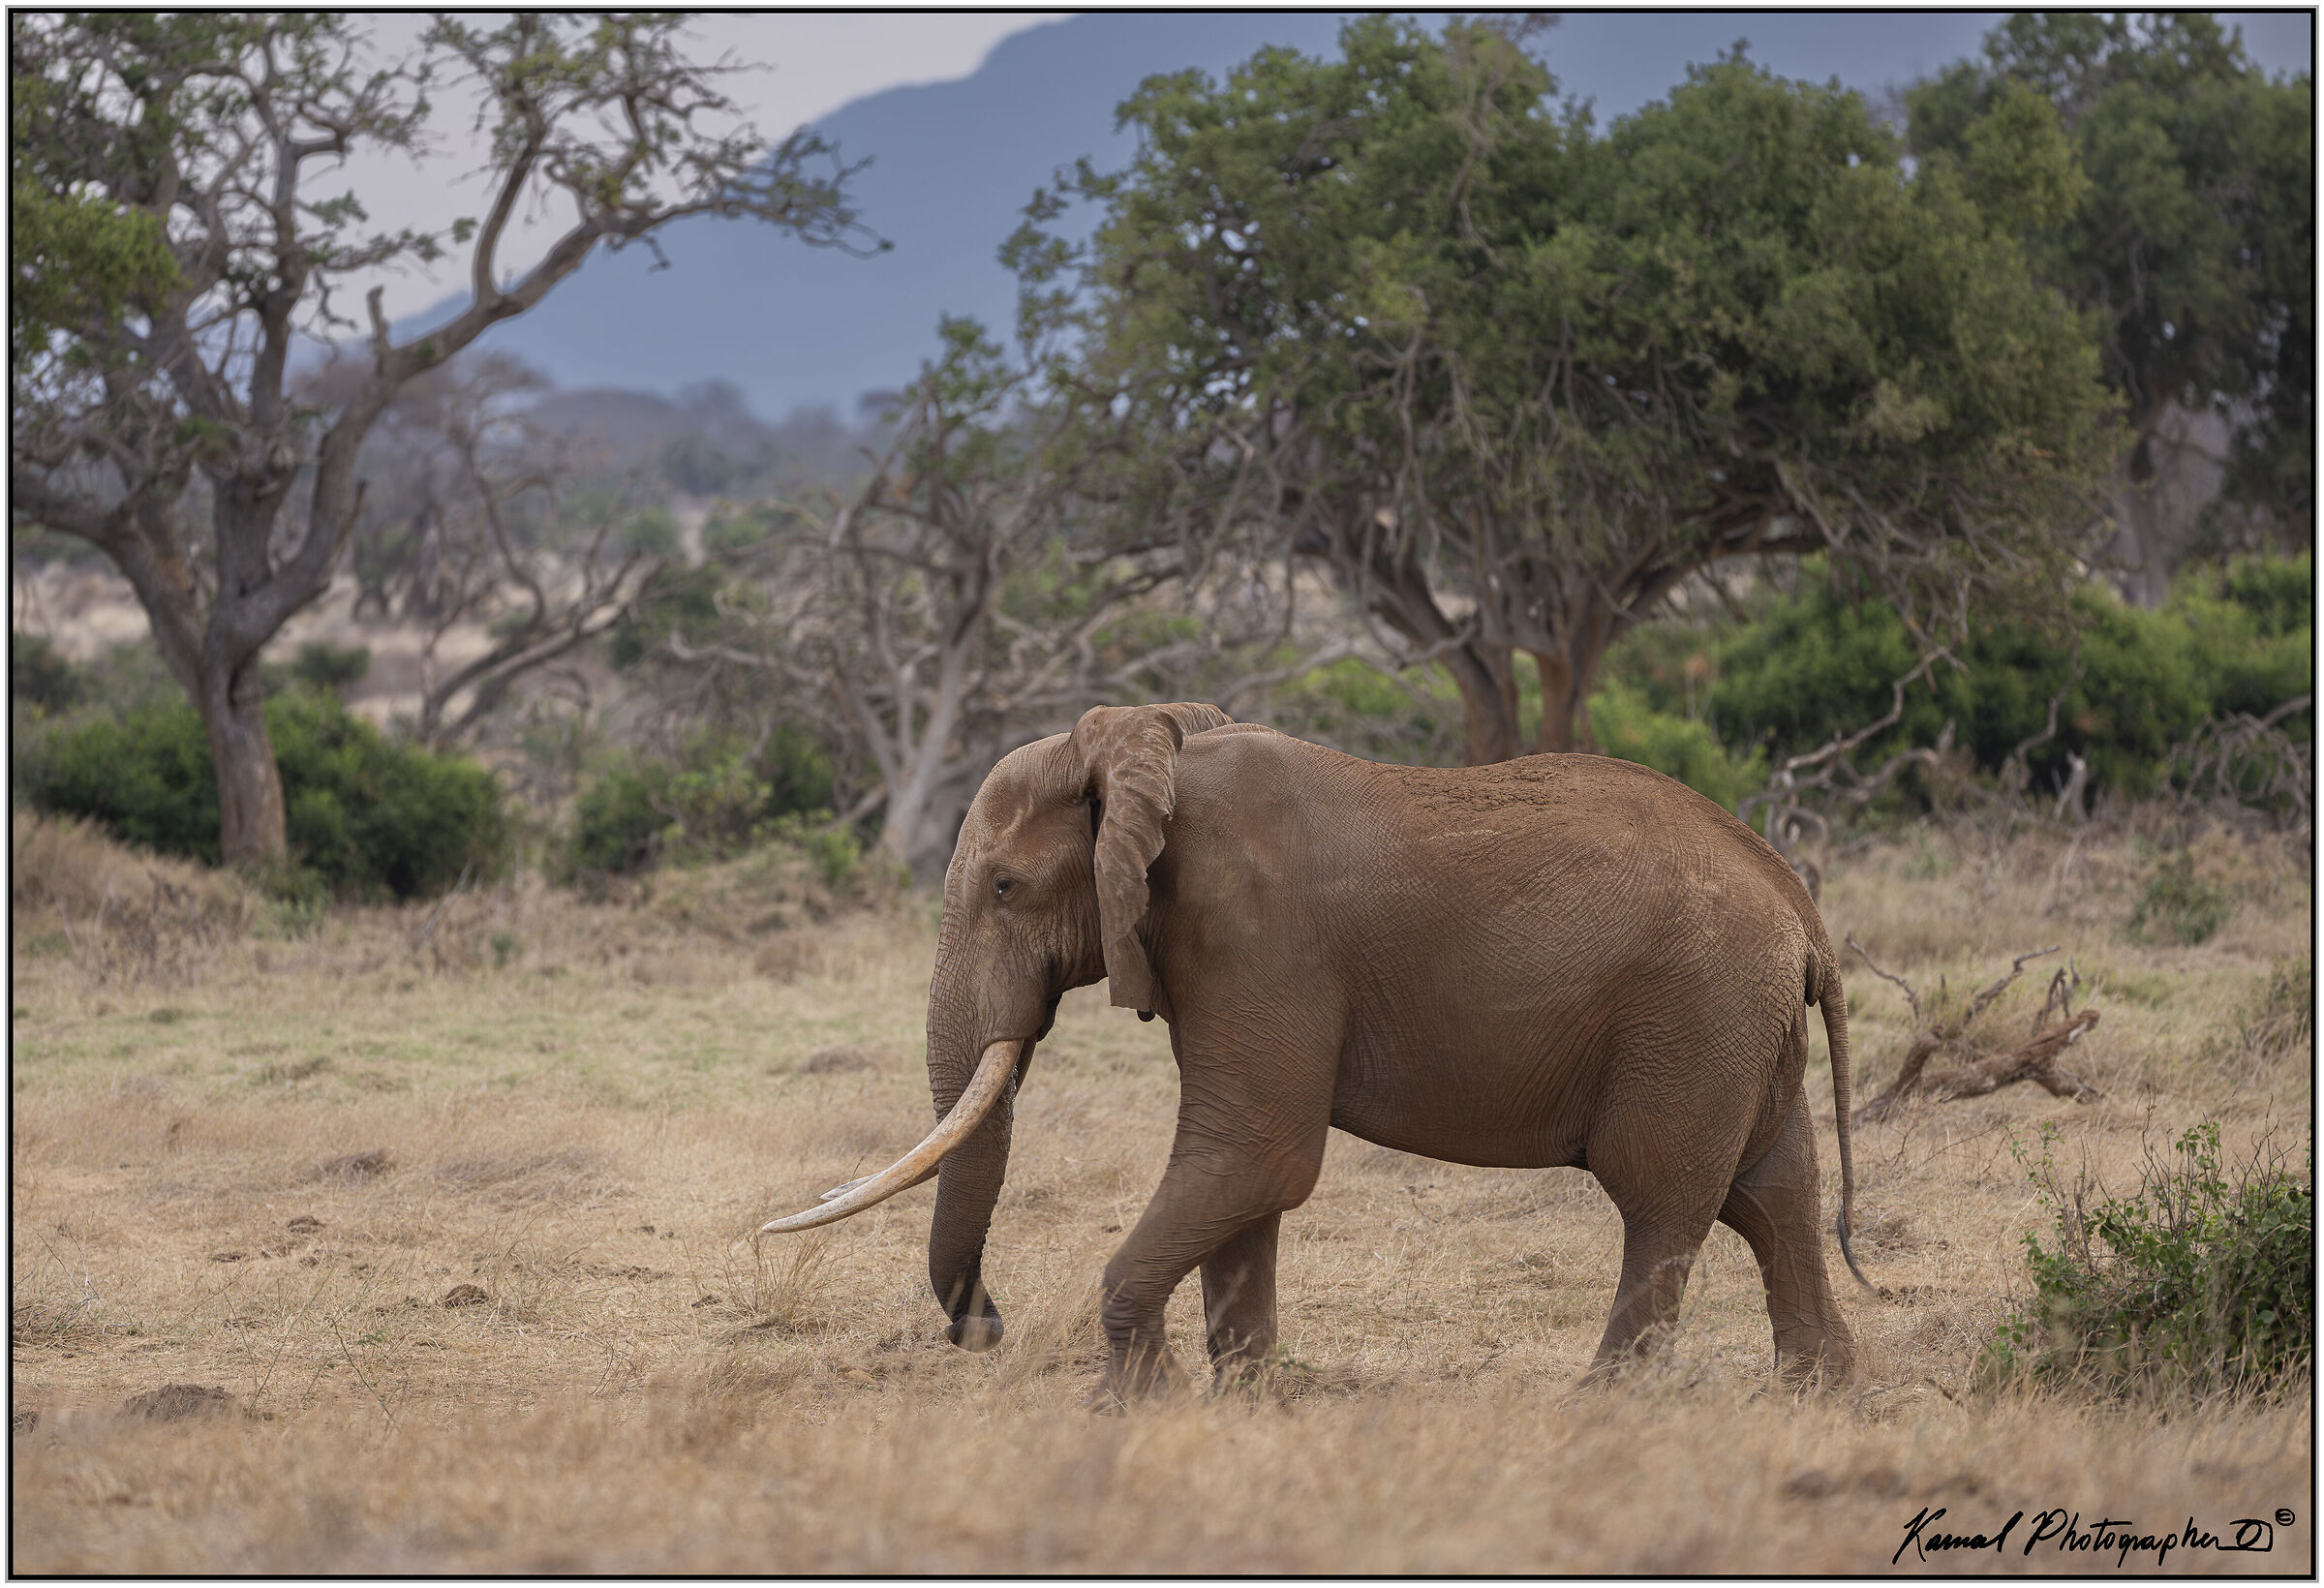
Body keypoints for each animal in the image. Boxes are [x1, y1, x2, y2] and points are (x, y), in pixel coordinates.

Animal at [765, 702, 1869, 1404]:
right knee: (1774, 1192)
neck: (1148, 750)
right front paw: (1244, 1398)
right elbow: (1243, 1178)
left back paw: (1602, 1404)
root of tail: (1803, 910)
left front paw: (1136, 1405)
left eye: (1002, 887)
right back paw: (1813, 1395)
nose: (990, 1329)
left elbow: (1254, 1154)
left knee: (1664, 1199)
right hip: (1740, 1025)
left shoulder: (1256, 935)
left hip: (1692, 1012)